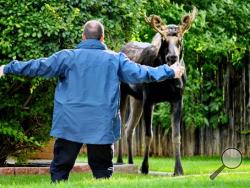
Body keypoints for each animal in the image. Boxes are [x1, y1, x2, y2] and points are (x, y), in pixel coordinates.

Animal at [116, 6, 197, 176]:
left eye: (180, 40)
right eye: (164, 40)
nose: (172, 57)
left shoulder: (177, 99)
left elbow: (177, 135)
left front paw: (178, 170)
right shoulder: (149, 99)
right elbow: (148, 134)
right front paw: (145, 167)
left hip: (136, 99)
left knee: (129, 127)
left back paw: (130, 161)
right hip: (123, 93)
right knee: (120, 125)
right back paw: (120, 161)